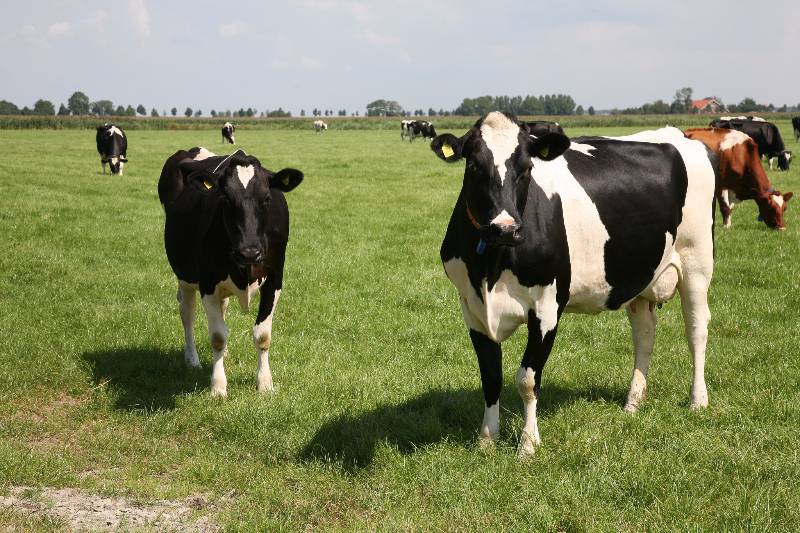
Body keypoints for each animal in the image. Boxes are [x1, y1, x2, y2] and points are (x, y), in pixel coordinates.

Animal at [158, 145, 304, 394]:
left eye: (266, 198)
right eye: (225, 198)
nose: (249, 252)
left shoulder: (275, 279)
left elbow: (262, 335)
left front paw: (265, 383)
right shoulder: (207, 282)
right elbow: (217, 336)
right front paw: (218, 386)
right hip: (185, 275)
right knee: (187, 314)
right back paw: (192, 359)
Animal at [432, 112, 720, 458]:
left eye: (526, 168)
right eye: (474, 165)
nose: (505, 228)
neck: (492, 264)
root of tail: (679, 135)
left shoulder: (546, 307)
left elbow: (527, 379)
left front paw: (528, 444)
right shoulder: (472, 308)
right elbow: (491, 376)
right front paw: (487, 440)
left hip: (697, 261)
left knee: (696, 329)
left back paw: (698, 400)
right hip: (641, 273)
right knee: (645, 334)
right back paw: (633, 402)